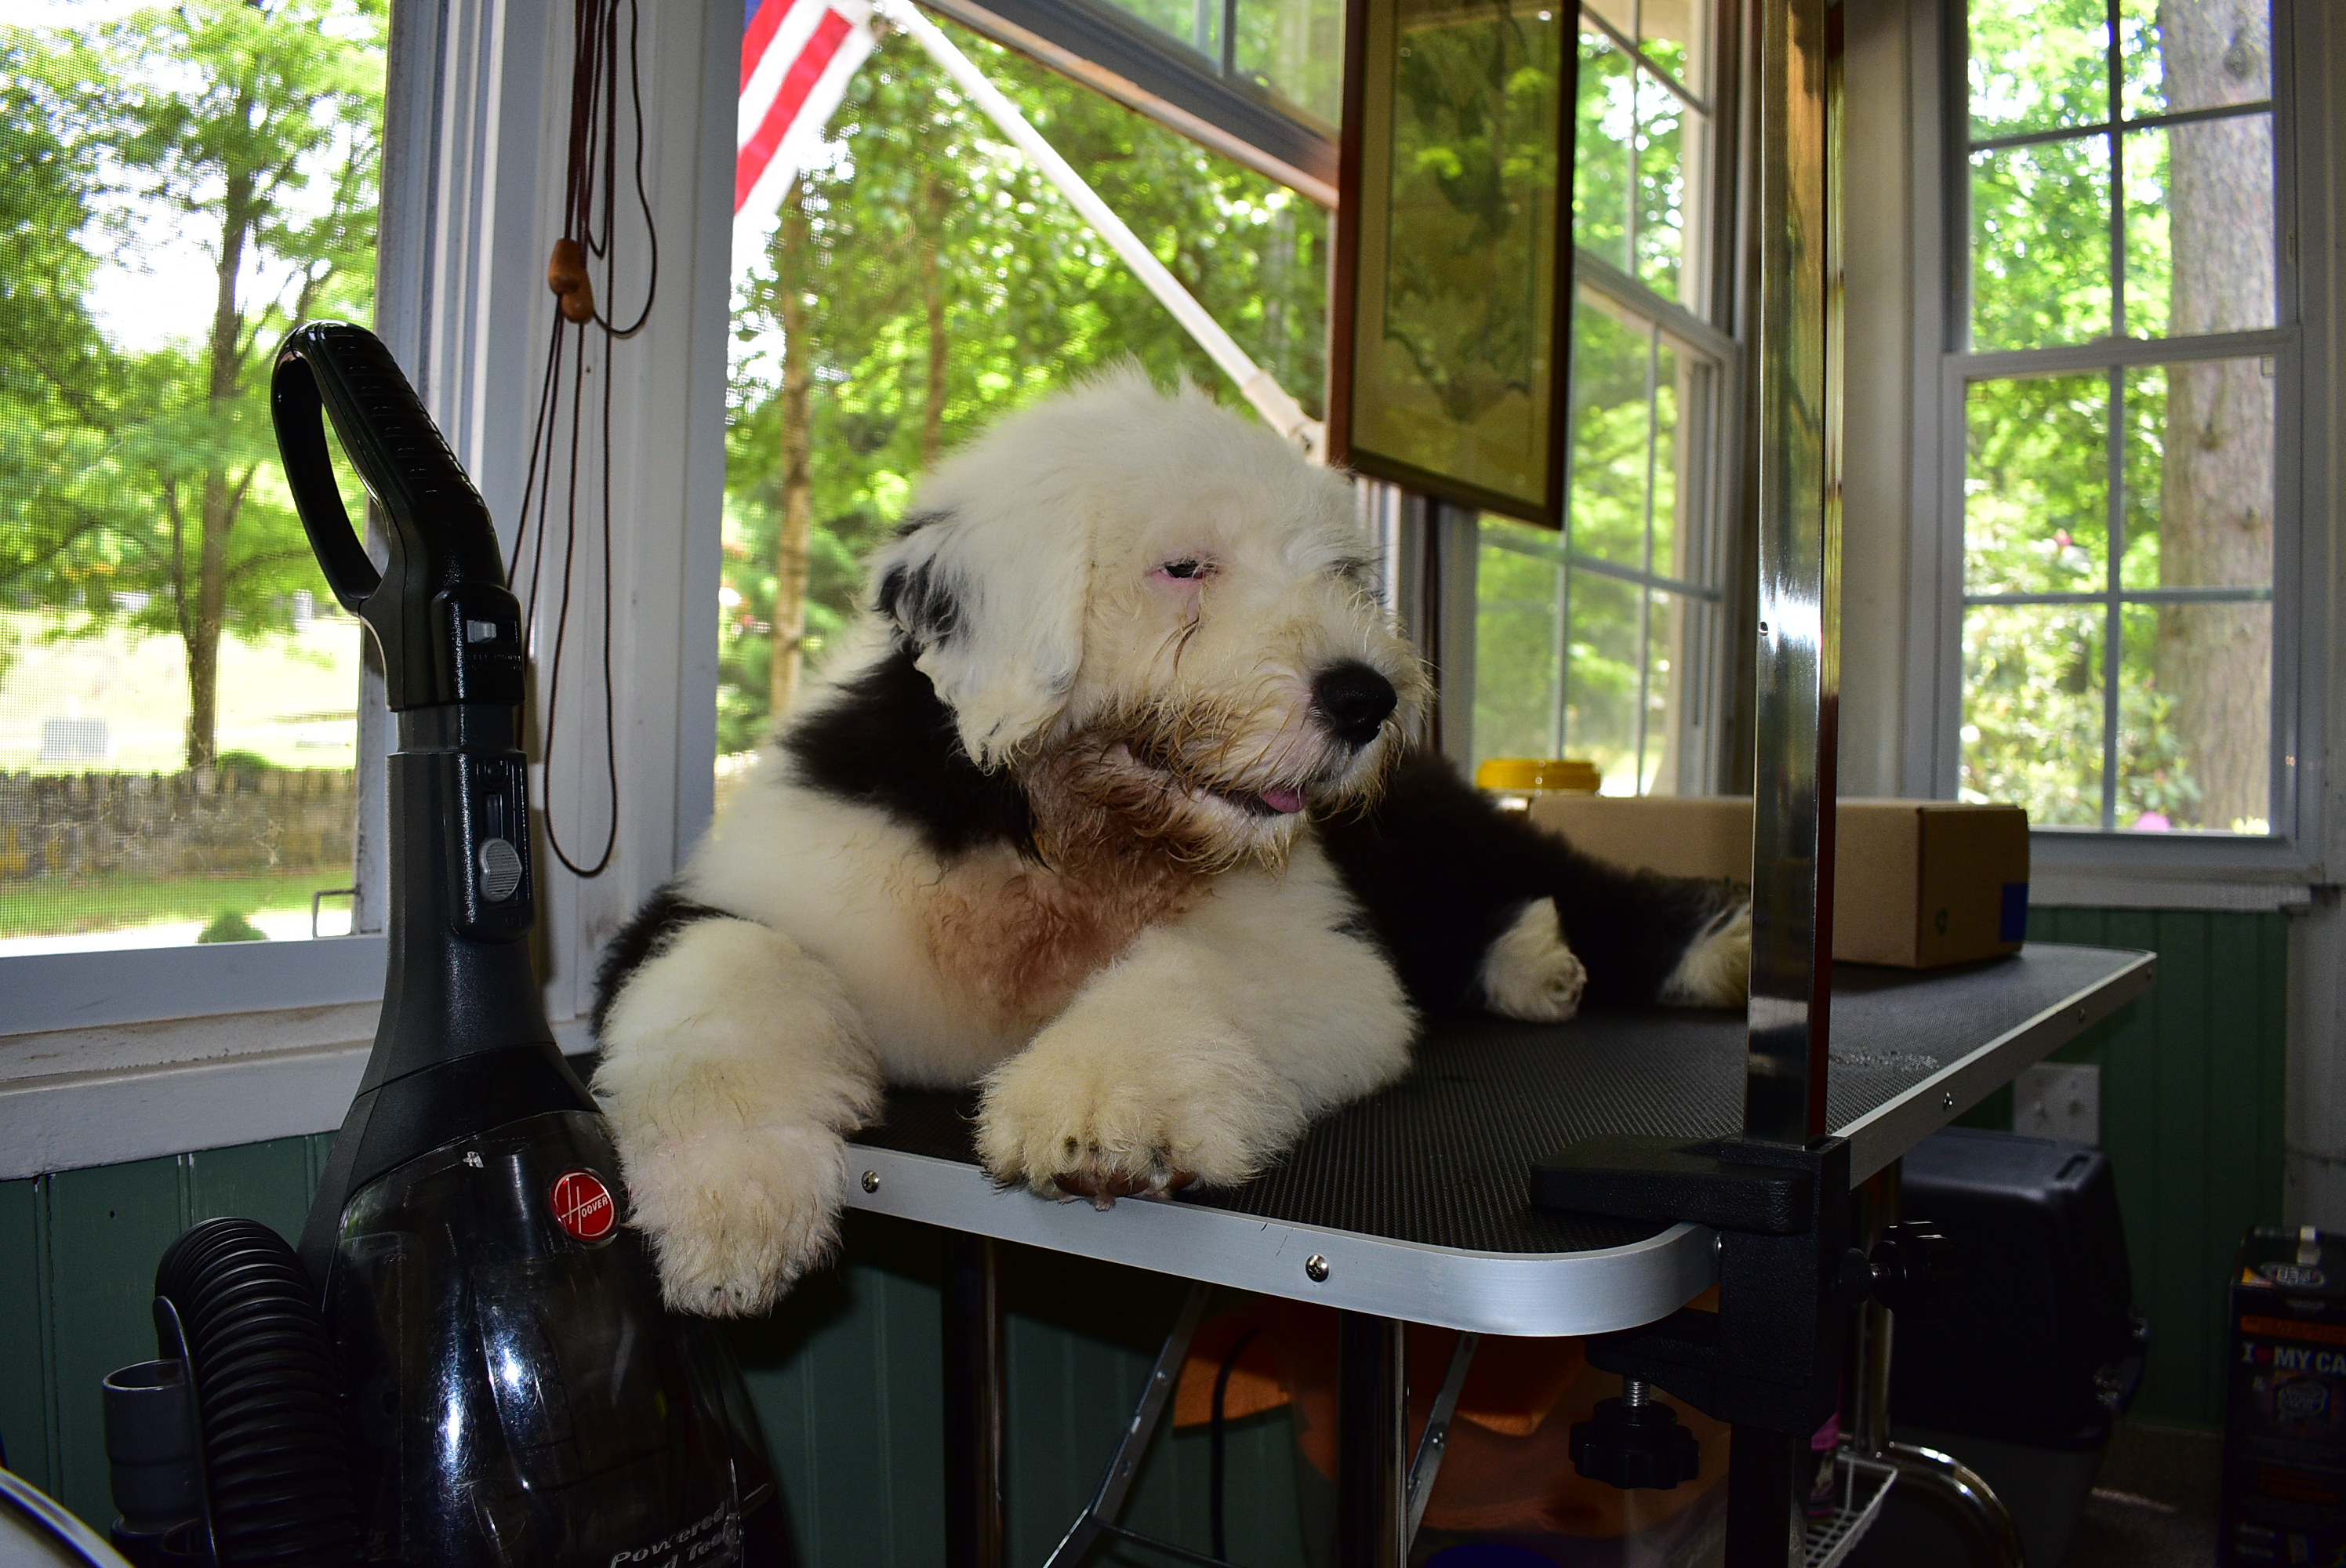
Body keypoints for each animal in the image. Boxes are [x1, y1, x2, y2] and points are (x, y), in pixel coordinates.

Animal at [595, 368, 1755, 1314]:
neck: (1068, 836)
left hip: (1428, 830)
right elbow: (727, 976)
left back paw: (1708, 953)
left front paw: (1095, 1108)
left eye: (1339, 575)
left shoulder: (1309, 944)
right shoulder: (769, 882)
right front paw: (733, 1210)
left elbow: (1193, 970)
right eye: (1185, 566)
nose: (1368, 697)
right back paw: (1536, 967)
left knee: (1572, 882)